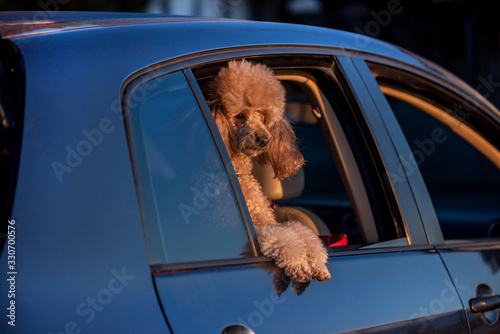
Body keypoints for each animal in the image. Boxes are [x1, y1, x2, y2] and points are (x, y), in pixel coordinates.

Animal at [207, 59, 332, 282]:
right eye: (240, 116)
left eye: (263, 117)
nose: (265, 139)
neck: (238, 175)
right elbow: (281, 238)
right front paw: (299, 264)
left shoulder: (268, 220)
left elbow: (296, 229)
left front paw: (318, 263)